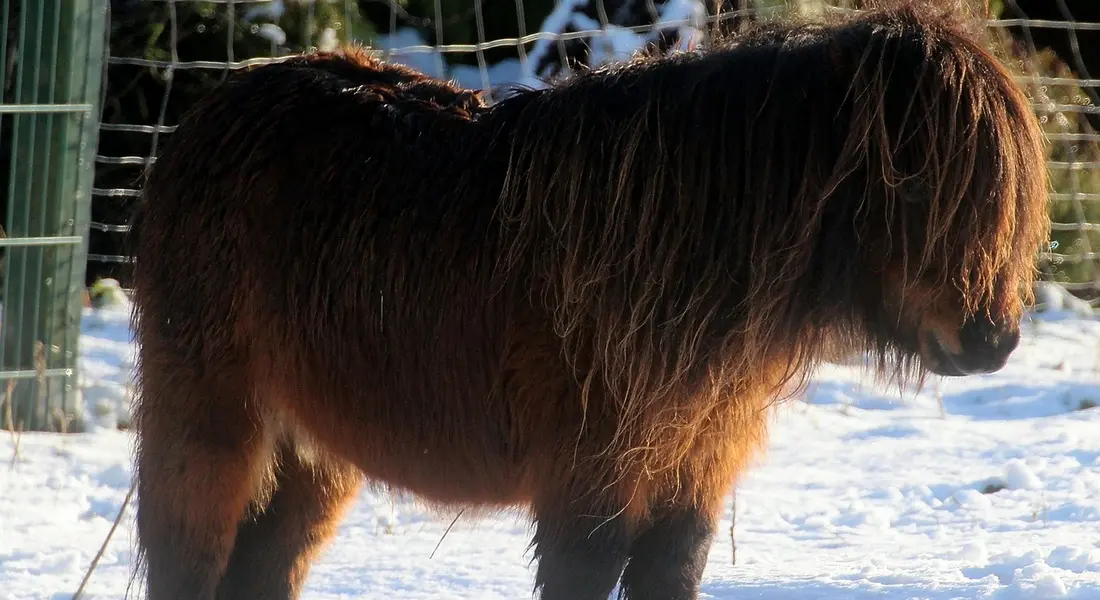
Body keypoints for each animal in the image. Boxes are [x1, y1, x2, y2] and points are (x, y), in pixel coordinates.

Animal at [128, 1, 1050, 598]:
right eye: (915, 175)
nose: (991, 339)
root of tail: (215, 110)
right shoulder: (589, 485)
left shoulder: (689, 489)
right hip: (208, 429)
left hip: (315, 458)